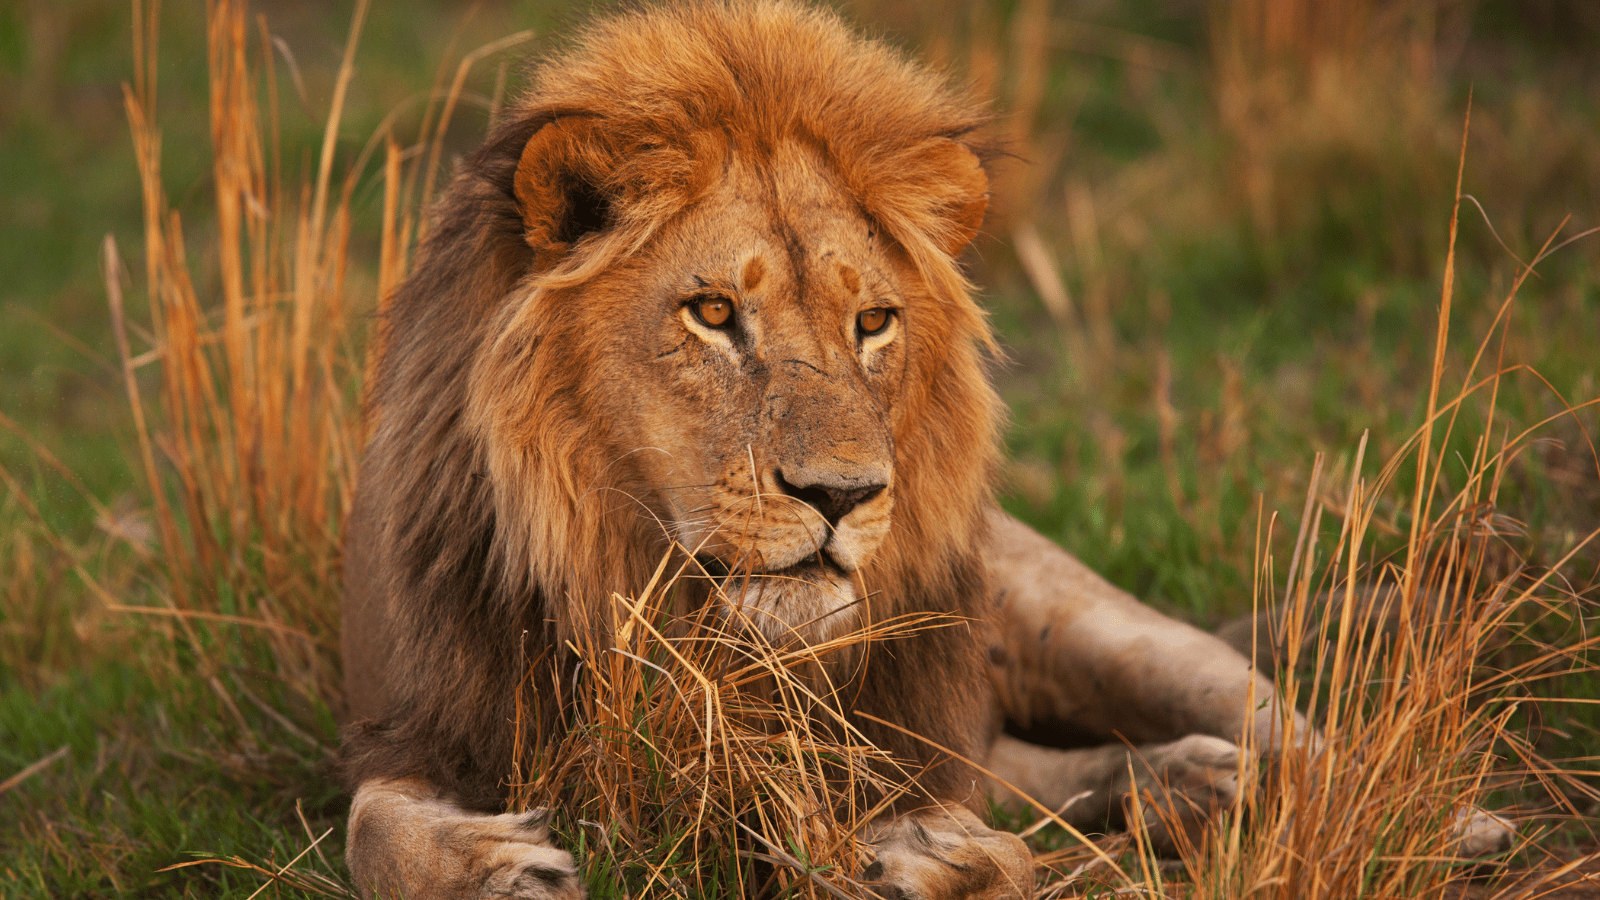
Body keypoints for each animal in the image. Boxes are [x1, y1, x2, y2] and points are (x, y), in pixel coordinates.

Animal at [335, 3, 1500, 898]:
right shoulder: (426, 721)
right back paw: (1192, 789)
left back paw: (1418, 816)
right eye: (711, 313)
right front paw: (492, 867)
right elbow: (369, 826)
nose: (843, 495)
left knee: (1286, 728)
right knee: (1038, 768)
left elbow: (977, 844)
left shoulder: (909, 746)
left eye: (872, 323)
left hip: (1099, 627)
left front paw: (920, 858)